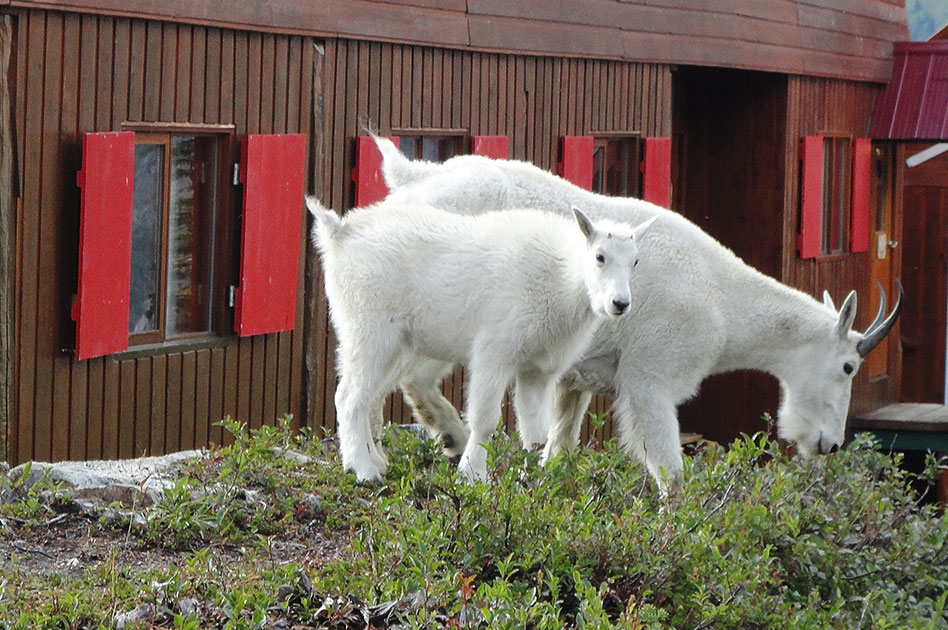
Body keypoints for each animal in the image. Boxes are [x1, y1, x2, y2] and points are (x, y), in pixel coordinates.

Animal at [308, 198, 656, 484]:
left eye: (636, 262)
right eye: (600, 256)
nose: (620, 304)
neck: (562, 277)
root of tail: (339, 233)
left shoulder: (537, 371)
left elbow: (536, 432)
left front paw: (531, 482)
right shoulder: (494, 352)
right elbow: (486, 419)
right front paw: (473, 474)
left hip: (393, 344)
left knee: (369, 397)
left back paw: (376, 461)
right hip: (369, 331)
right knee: (349, 397)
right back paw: (363, 470)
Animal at [374, 138, 900, 492]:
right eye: (848, 366)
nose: (830, 445)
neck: (723, 302)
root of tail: (412, 182)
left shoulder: (576, 381)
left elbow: (559, 446)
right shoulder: (651, 376)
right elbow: (671, 471)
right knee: (414, 378)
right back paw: (454, 439)